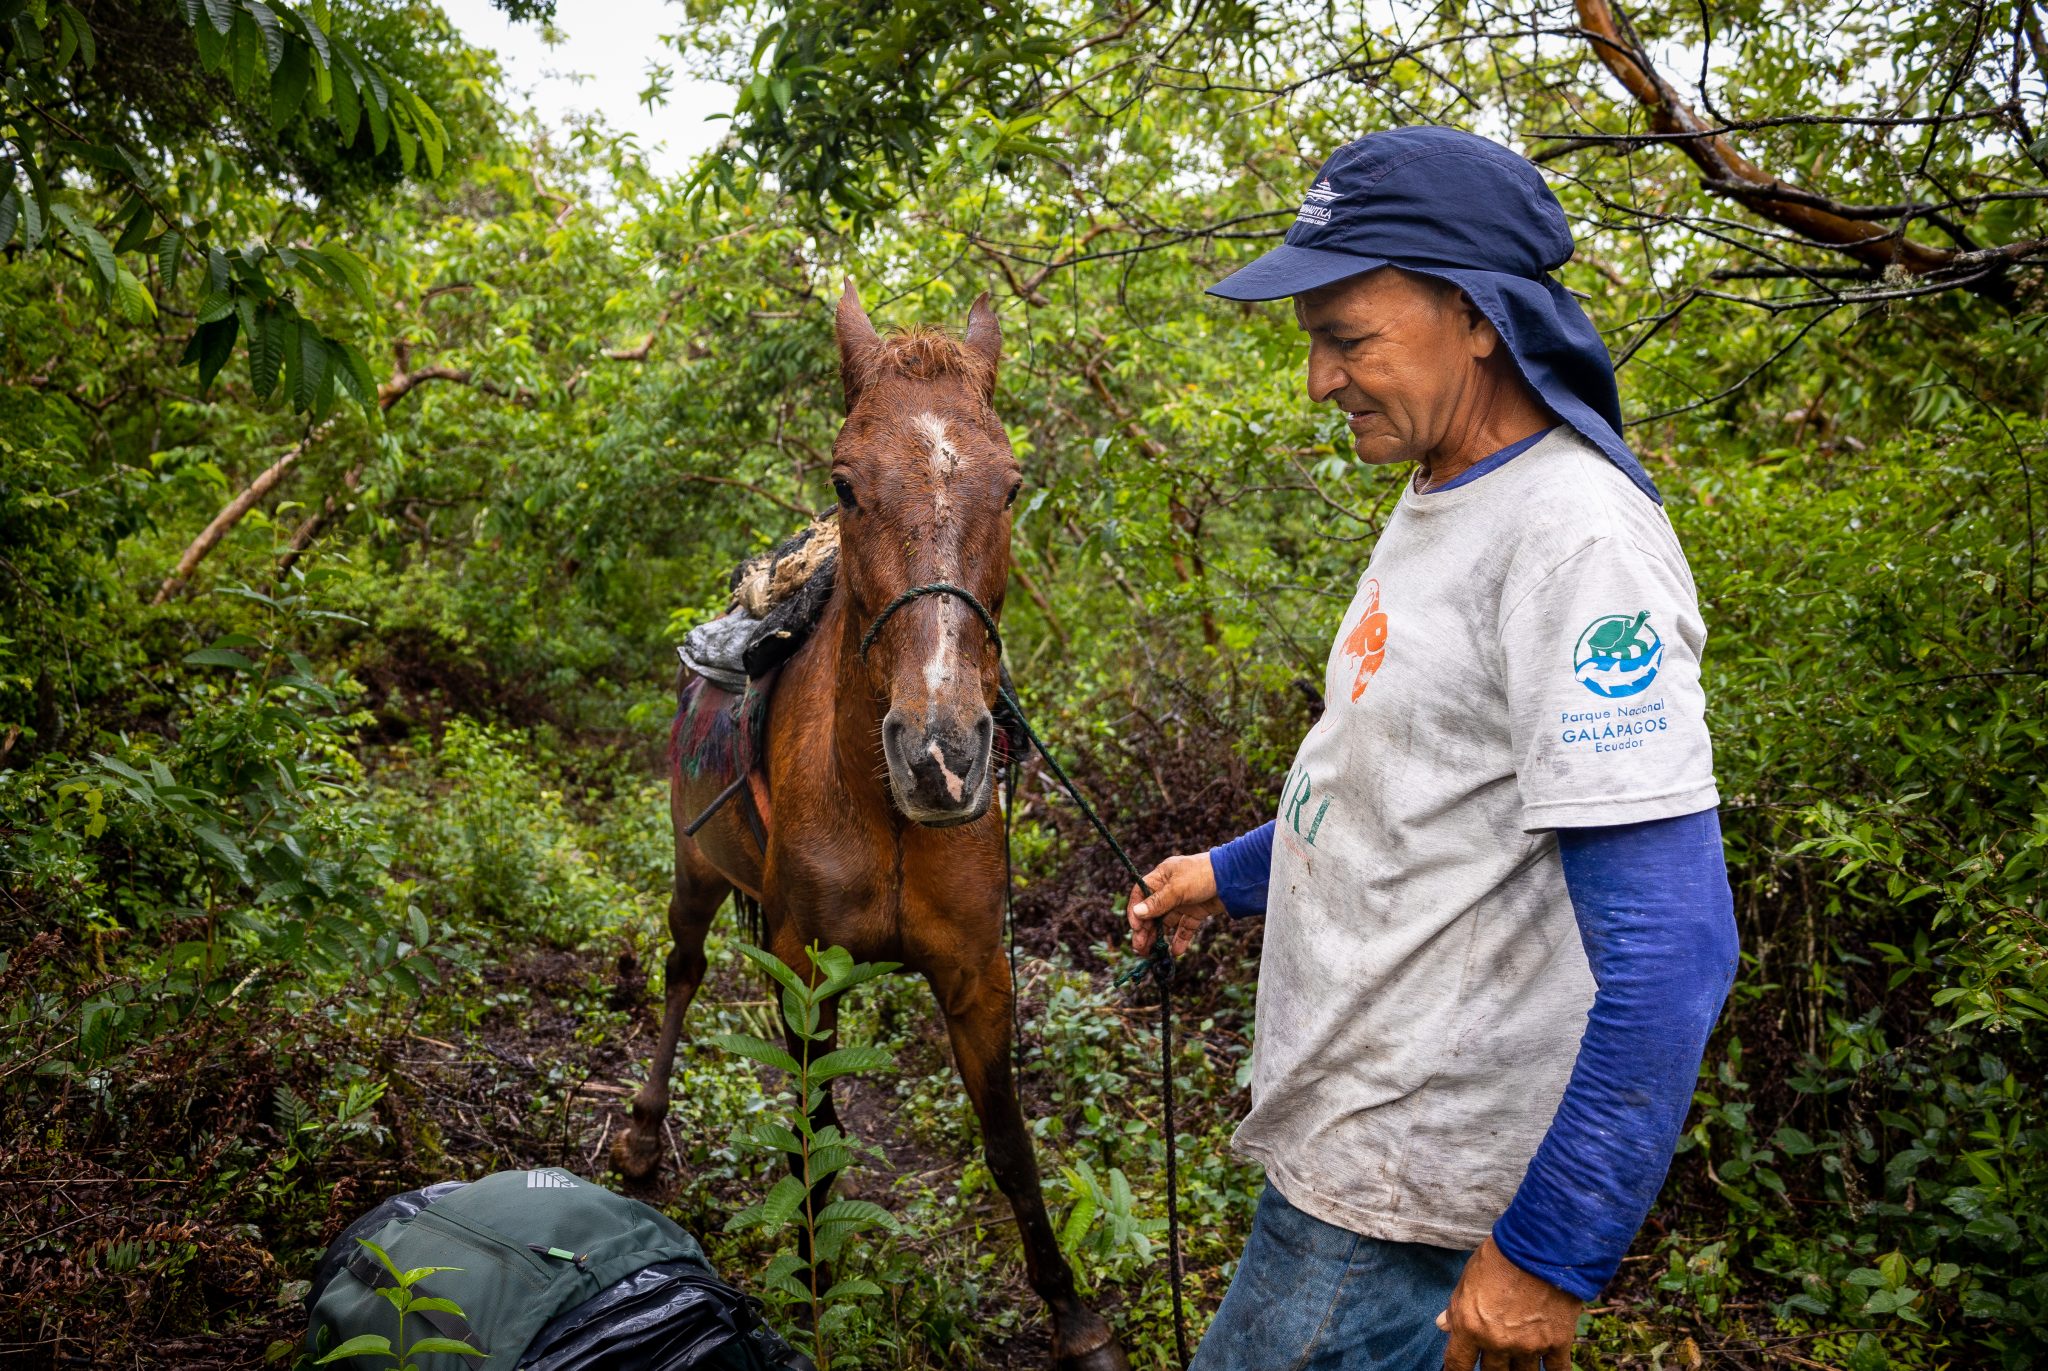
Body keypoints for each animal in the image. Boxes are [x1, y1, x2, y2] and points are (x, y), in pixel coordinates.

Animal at [614, 282, 1130, 1360]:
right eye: (845, 485)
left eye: (1012, 486)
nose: (941, 753)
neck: (885, 809)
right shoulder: (802, 965)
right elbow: (812, 1133)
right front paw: (815, 1284)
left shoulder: (977, 972)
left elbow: (1008, 1144)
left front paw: (1072, 1313)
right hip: (695, 870)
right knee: (681, 969)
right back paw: (641, 1129)